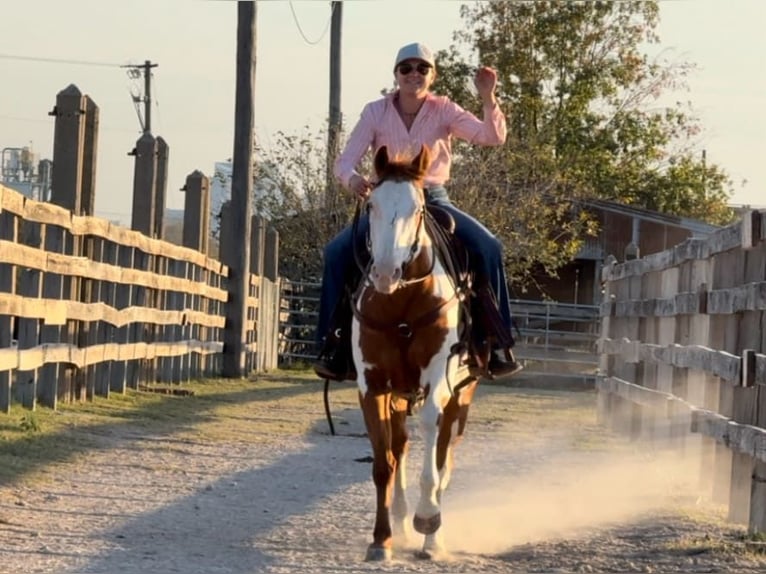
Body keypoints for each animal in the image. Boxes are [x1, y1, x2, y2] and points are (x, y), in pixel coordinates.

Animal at [350, 145, 479, 561]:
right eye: (371, 204)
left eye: (417, 208)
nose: (386, 273)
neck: (401, 304)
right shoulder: (373, 385)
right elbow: (383, 464)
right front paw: (381, 539)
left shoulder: (439, 377)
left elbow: (432, 446)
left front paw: (428, 519)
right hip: (399, 393)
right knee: (401, 446)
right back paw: (404, 523)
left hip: (462, 394)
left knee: (443, 451)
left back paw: (430, 535)